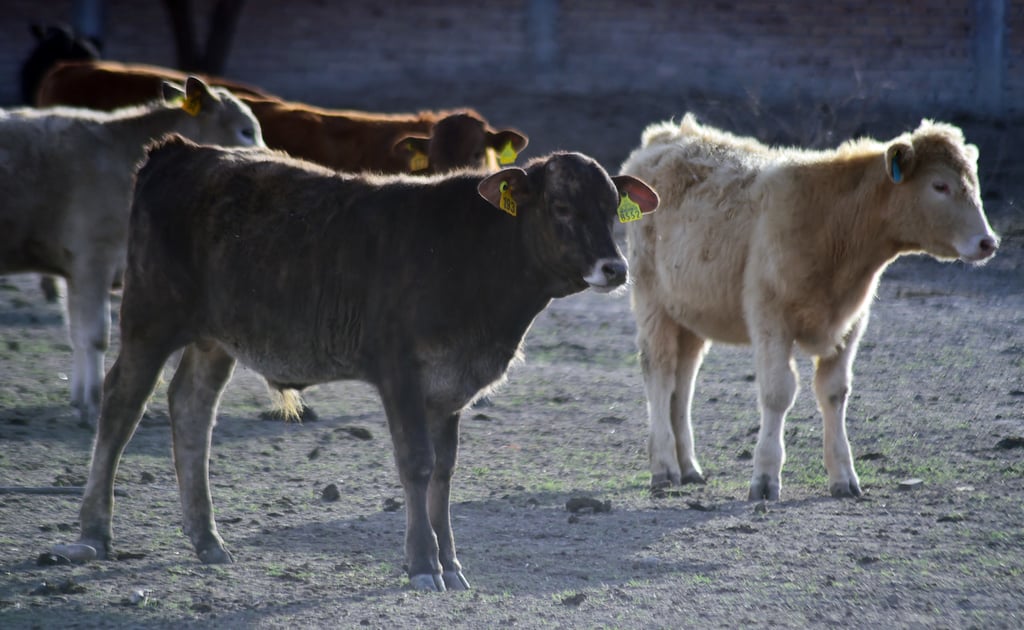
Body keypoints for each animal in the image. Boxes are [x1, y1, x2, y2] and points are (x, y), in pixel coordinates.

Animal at [0, 76, 264, 426]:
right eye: (246, 131)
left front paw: (82, 399)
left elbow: (78, 334)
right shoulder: (92, 259)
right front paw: (92, 403)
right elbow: (94, 335)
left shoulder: (77, 271)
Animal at [59, 135, 659, 594]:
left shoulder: (449, 385)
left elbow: (444, 472)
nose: (615, 267)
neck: (474, 255)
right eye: (562, 208)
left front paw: (452, 563)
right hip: (150, 315)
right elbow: (416, 465)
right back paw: (94, 533)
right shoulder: (399, 372)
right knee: (121, 405)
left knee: (190, 409)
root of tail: (182, 151)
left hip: (214, 337)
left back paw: (206, 538)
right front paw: (423, 565)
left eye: (613, 209)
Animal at [618, 112, 995, 497]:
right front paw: (765, 477)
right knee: (660, 372)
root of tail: (665, 136)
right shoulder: (770, 319)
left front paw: (844, 476)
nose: (988, 242)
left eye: (974, 183)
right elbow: (777, 392)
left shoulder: (850, 324)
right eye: (940, 186)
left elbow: (834, 392)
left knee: (683, 381)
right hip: (652, 302)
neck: (832, 223)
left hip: (690, 313)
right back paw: (665, 467)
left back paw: (689, 467)